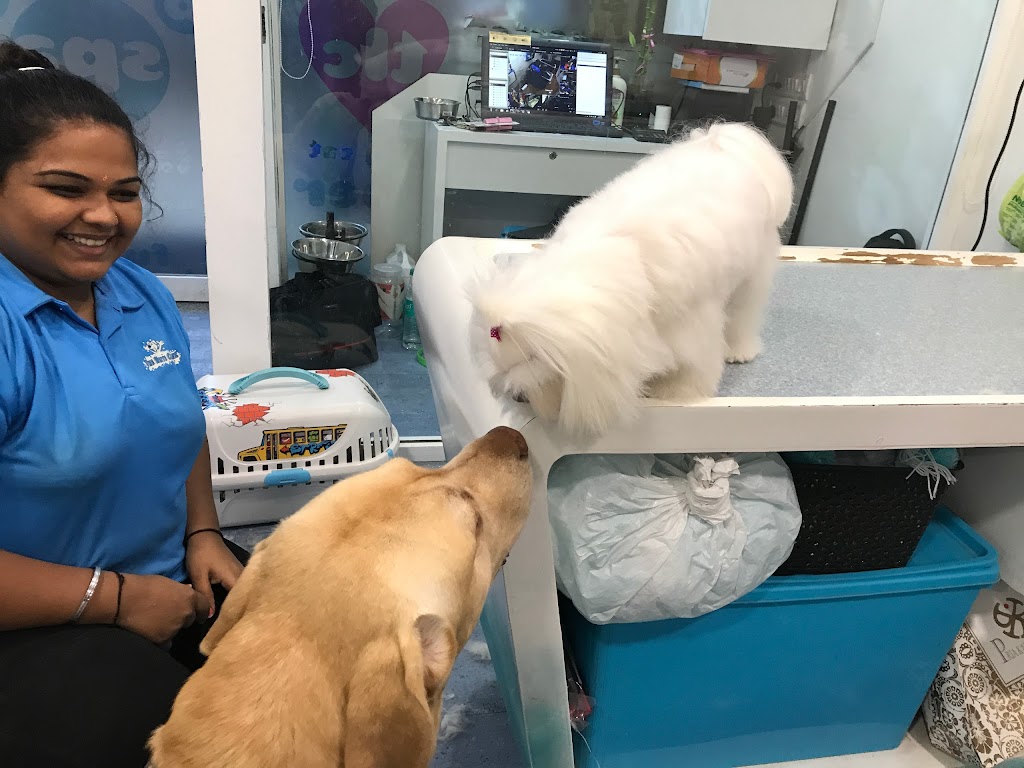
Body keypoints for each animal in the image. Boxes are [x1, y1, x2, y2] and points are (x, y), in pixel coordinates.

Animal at [471, 121, 794, 437]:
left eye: (533, 359)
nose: (517, 396)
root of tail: (717, 140)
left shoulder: (691, 323)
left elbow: (694, 364)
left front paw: (675, 389)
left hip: (753, 272)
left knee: (744, 313)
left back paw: (739, 350)